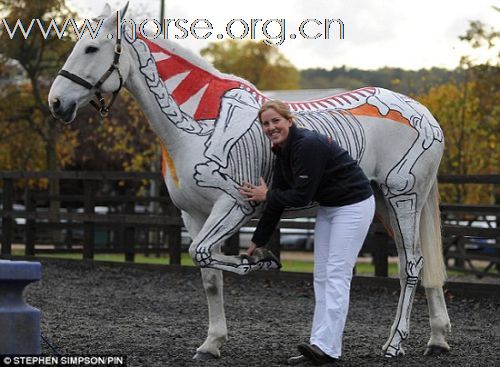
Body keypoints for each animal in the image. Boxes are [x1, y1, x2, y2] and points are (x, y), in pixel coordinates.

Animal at [48, 3, 452, 362]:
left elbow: (203, 252)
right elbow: (208, 273)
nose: (56, 103)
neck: (197, 126)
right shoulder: (193, 215)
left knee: (411, 265)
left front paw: (260, 262)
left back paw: (395, 344)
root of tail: (424, 114)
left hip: (403, 196)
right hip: (385, 202)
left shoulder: (235, 205)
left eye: (91, 48)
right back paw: (436, 340)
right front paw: (211, 344)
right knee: (415, 263)